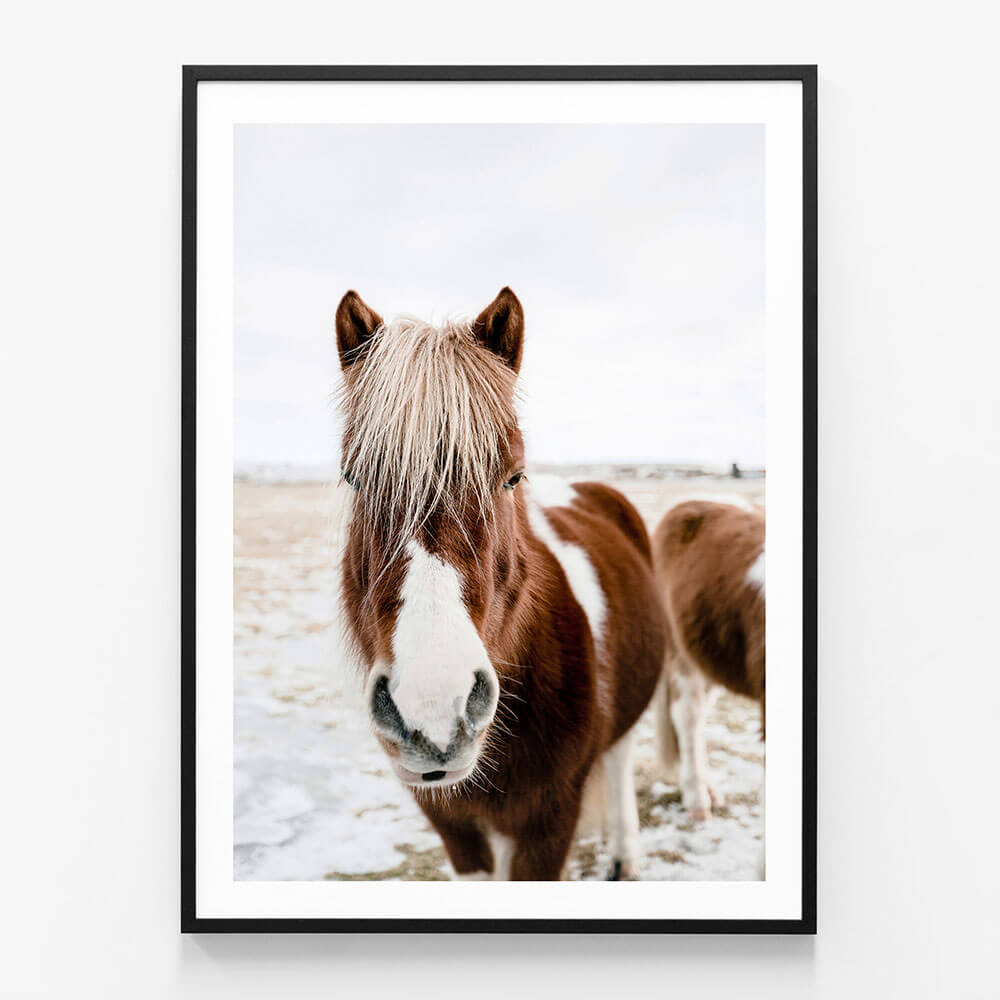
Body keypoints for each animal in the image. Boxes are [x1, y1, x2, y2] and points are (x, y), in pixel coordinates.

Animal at [334, 287, 668, 880]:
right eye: (352, 477)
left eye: (513, 476)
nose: (433, 711)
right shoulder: (455, 827)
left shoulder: (549, 823)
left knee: (621, 756)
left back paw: (625, 855)